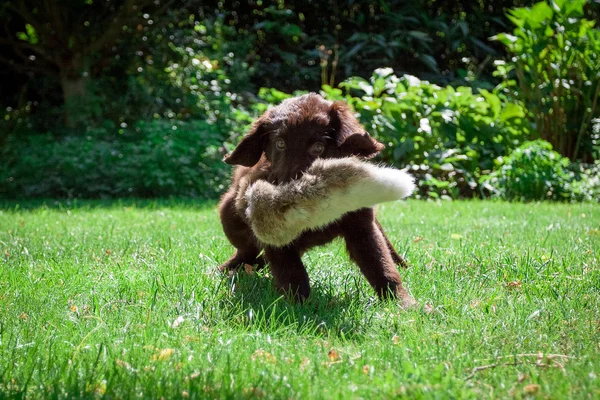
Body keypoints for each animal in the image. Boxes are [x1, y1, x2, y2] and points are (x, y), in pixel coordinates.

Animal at [217, 92, 418, 308]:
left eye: (318, 147)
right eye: (280, 143)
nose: (289, 193)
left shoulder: (362, 225)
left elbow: (380, 264)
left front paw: (402, 303)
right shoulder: (276, 239)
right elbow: (292, 272)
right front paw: (298, 307)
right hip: (230, 216)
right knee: (246, 252)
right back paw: (227, 270)